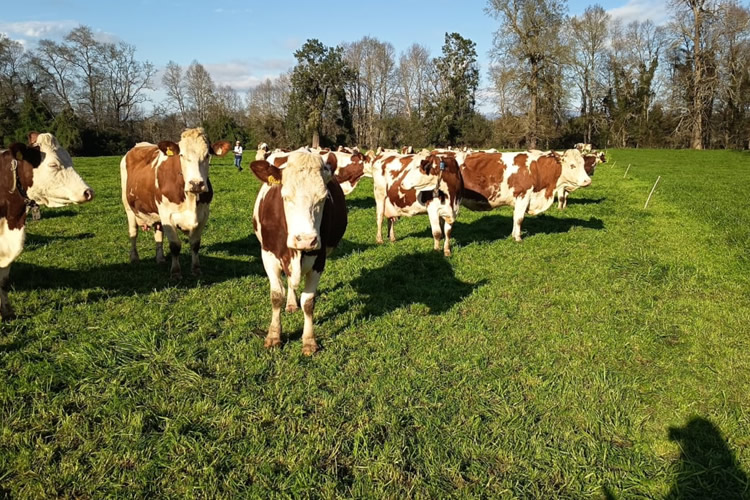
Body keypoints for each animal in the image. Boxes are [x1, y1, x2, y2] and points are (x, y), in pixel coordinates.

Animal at [120, 128, 230, 279]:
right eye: (182, 155)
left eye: (207, 155)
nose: (196, 183)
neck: (190, 199)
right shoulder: (167, 215)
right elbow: (175, 246)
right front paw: (176, 272)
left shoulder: (203, 214)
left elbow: (195, 244)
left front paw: (196, 269)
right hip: (129, 208)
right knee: (133, 232)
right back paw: (134, 257)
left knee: (158, 233)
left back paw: (160, 258)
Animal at [251, 151, 347, 355]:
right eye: (286, 197)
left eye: (323, 198)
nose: (305, 240)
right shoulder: (268, 256)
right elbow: (276, 296)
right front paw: (273, 336)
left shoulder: (319, 260)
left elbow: (308, 302)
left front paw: (309, 341)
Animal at [460, 149, 590, 241]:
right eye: (572, 165)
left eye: (583, 164)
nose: (587, 181)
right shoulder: (523, 195)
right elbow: (519, 218)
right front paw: (518, 238)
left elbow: (516, 217)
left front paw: (513, 235)